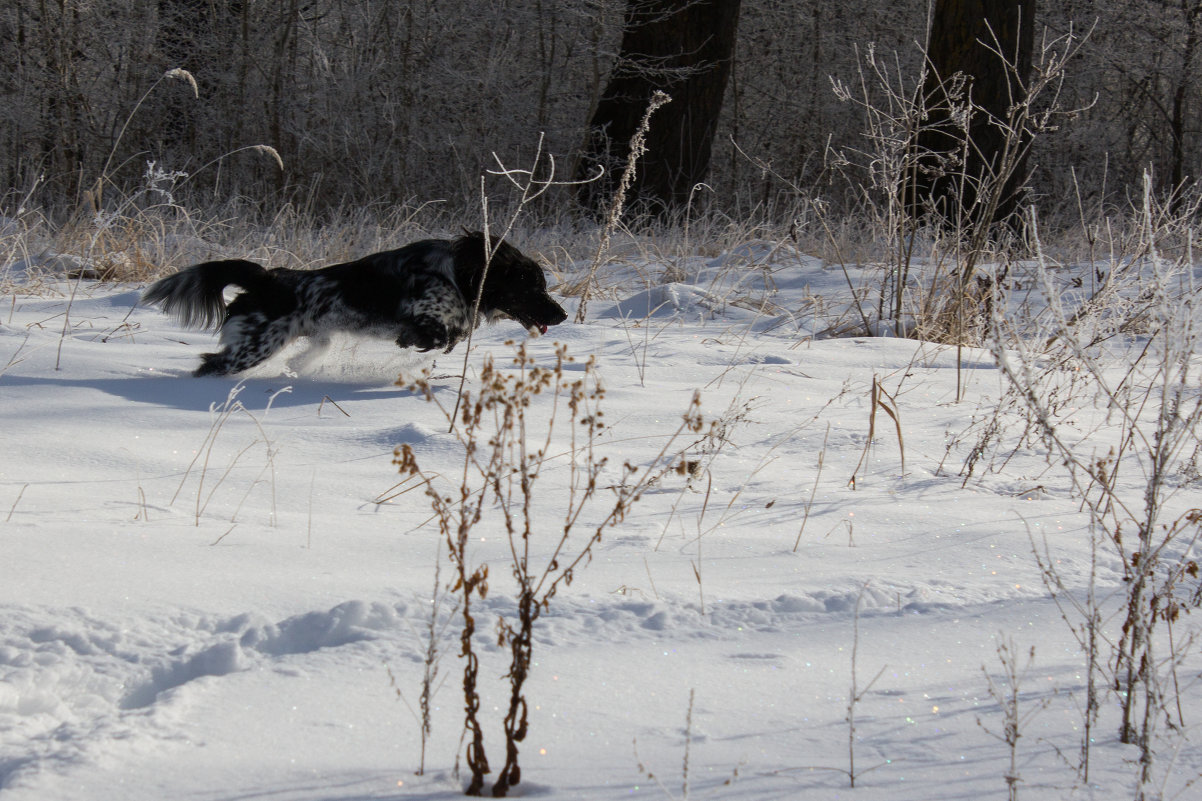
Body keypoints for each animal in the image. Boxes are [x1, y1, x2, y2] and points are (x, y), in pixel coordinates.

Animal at [144, 229, 567, 375]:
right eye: (533, 287)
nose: (562, 314)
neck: (461, 275)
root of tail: (265, 278)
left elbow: (453, 336)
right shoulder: (424, 312)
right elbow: (438, 334)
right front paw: (414, 342)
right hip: (253, 346)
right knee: (211, 365)